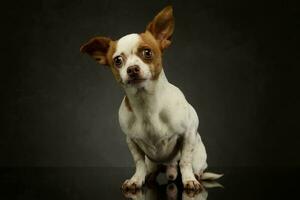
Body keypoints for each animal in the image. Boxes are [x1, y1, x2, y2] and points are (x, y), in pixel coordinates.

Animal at [81, 5, 221, 191]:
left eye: (147, 52)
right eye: (117, 60)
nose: (132, 69)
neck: (146, 102)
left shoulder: (188, 133)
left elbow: (185, 160)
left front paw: (189, 180)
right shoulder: (132, 141)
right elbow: (139, 162)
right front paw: (136, 179)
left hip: (199, 156)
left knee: (193, 166)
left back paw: (194, 176)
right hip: (153, 163)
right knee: (151, 170)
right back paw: (149, 177)